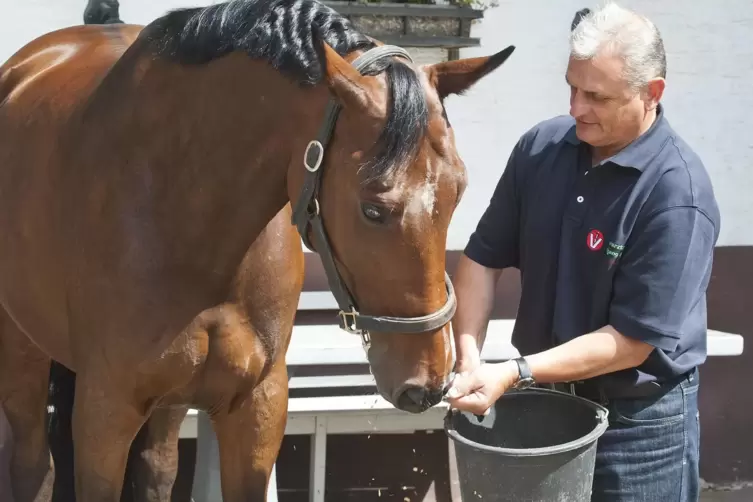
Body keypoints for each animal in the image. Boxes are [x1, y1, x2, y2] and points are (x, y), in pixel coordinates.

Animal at [0, 0, 515, 499]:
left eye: (459, 191)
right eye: (372, 208)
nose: (429, 382)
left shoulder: (257, 409)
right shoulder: (105, 413)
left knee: (156, 470)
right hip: (23, 352)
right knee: (33, 465)